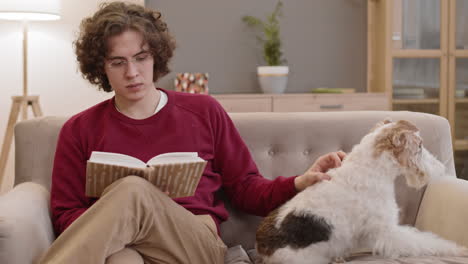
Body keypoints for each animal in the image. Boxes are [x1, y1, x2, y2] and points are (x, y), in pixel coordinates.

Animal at [258, 120, 466, 264]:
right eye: (420, 146)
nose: (441, 168)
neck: (371, 168)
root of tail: (261, 249)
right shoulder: (388, 232)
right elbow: (427, 242)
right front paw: (459, 249)